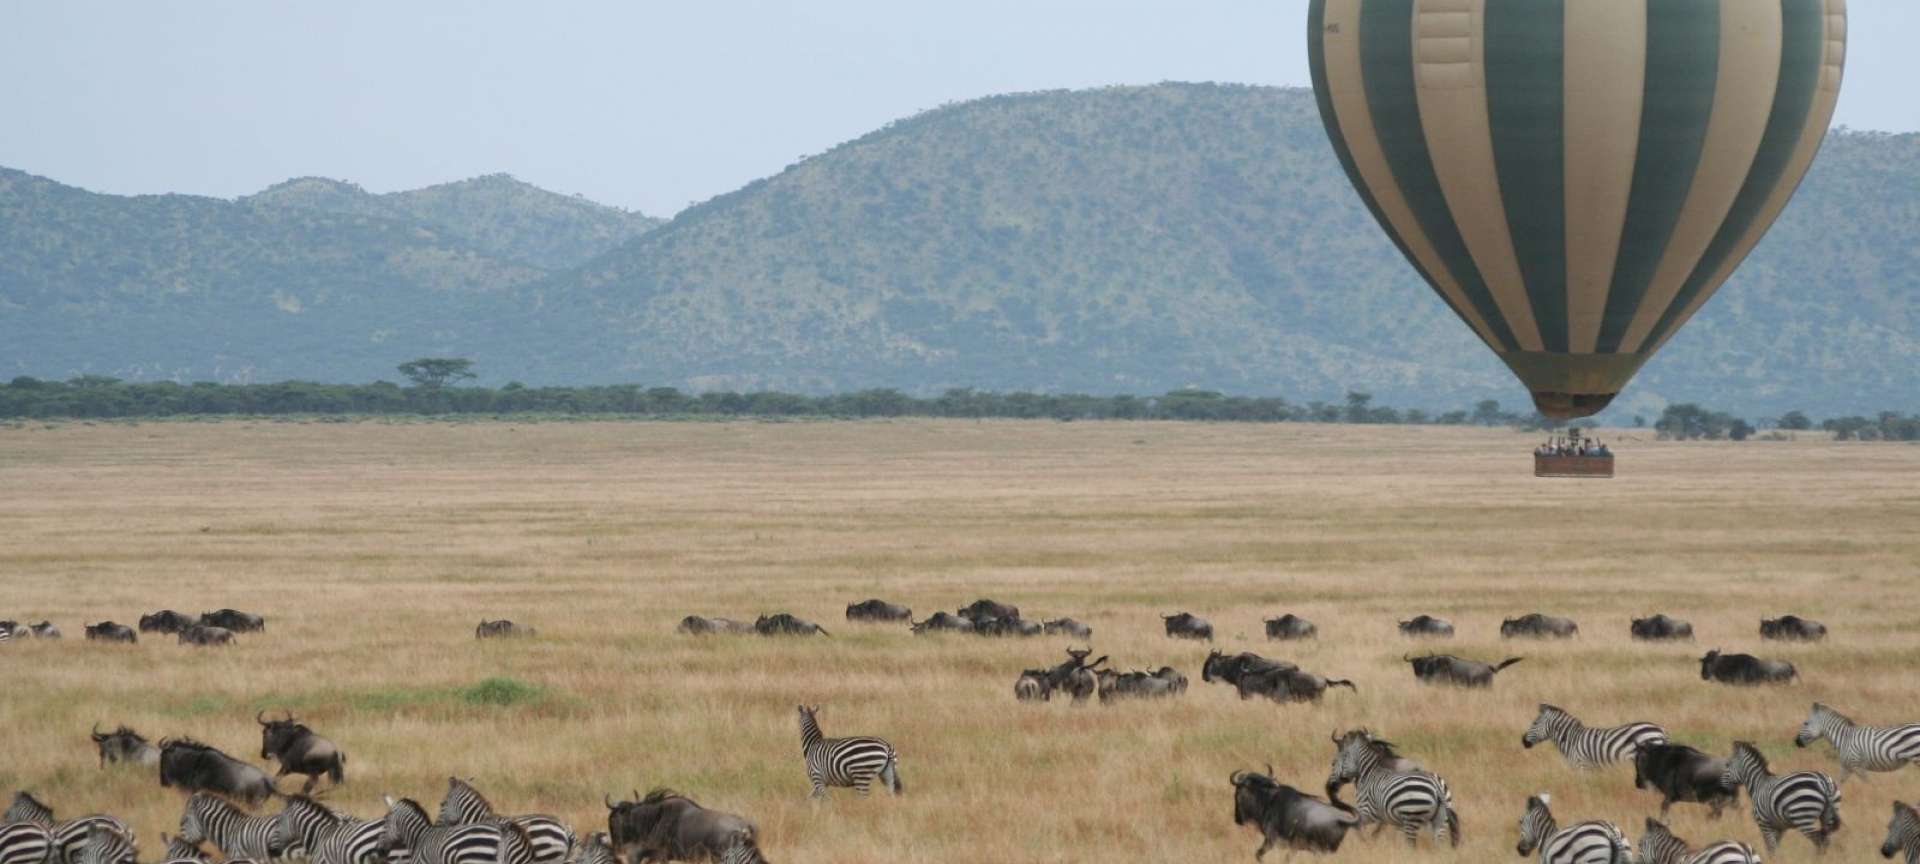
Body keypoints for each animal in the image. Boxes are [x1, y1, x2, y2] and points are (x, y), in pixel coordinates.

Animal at [1328, 725, 1459, 848]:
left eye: (1333, 763)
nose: (1331, 785)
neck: (1369, 772)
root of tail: (1436, 786)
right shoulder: (1383, 817)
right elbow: (1376, 832)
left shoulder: (1367, 812)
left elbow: (1357, 829)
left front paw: (1365, 843)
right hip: (1441, 821)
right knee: (1437, 845)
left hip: (1411, 817)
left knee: (1411, 846)